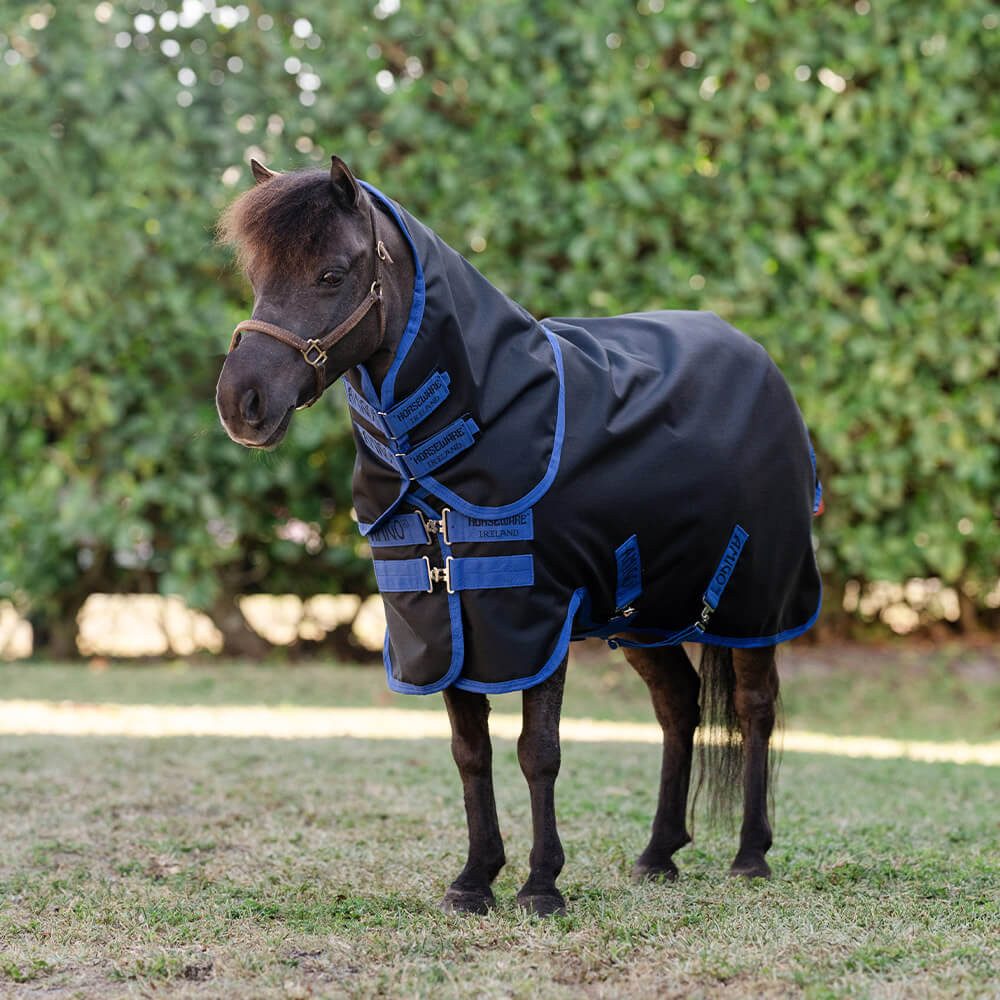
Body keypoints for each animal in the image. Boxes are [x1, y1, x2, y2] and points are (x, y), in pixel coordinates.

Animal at [215, 156, 822, 916]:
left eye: (330, 273)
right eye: (257, 276)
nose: (241, 403)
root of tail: (759, 359)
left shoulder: (539, 617)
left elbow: (539, 751)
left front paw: (541, 885)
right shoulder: (442, 623)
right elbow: (470, 751)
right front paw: (475, 879)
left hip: (753, 602)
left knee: (753, 708)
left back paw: (750, 856)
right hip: (642, 616)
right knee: (678, 706)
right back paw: (658, 854)